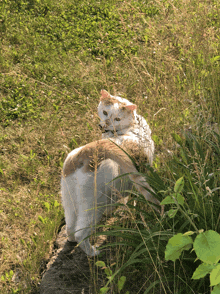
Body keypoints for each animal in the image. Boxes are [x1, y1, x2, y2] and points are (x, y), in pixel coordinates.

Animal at [60, 90, 160, 256]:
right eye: (105, 112)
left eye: (117, 118)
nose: (104, 125)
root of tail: (87, 151)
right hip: (93, 205)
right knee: (81, 232)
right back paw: (93, 252)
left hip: (69, 201)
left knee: (70, 227)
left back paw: (72, 240)